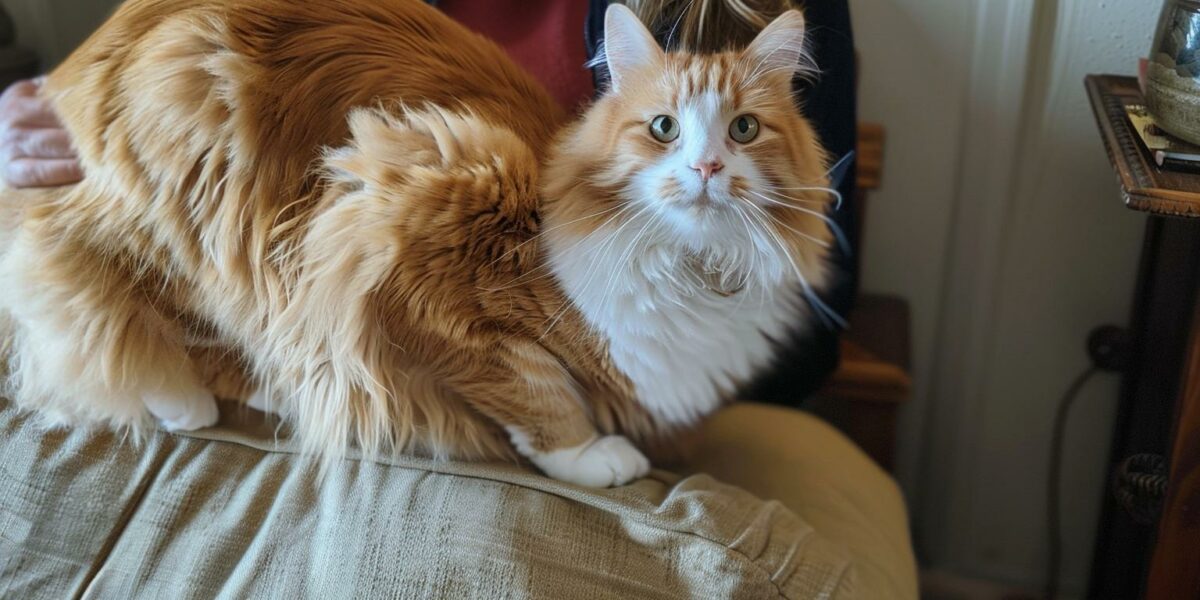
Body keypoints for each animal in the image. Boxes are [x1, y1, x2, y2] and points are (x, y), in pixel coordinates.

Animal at [0, 0, 835, 487]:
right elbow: (533, 385)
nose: (707, 167)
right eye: (663, 127)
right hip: (208, 216)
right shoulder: (418, 226)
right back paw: (184, 397)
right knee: (94, 298)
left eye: (744, 129)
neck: (689, 271)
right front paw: (591, 455)